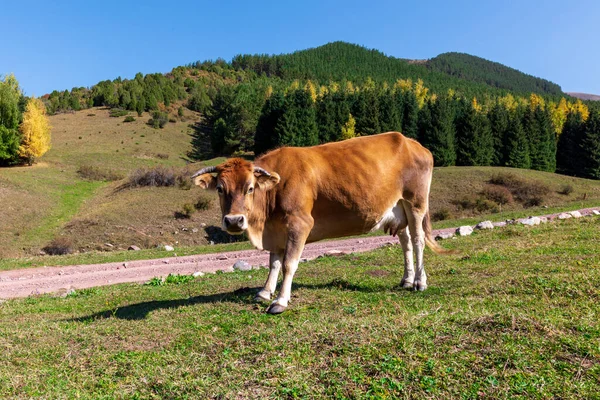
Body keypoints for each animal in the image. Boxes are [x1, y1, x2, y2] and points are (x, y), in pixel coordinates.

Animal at [195, 133, 448, 314]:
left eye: (250, 188)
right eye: (220, 189)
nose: (234, 220)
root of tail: (413, 143)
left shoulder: (299, 223)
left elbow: (288, 263)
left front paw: (280, 300)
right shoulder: (276, 230)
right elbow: (273, 263)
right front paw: (265, 292)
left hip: (416, 202)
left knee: (418, 240)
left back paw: (420, 282)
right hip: (398, 208)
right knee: (406, 241)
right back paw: (407, 279)